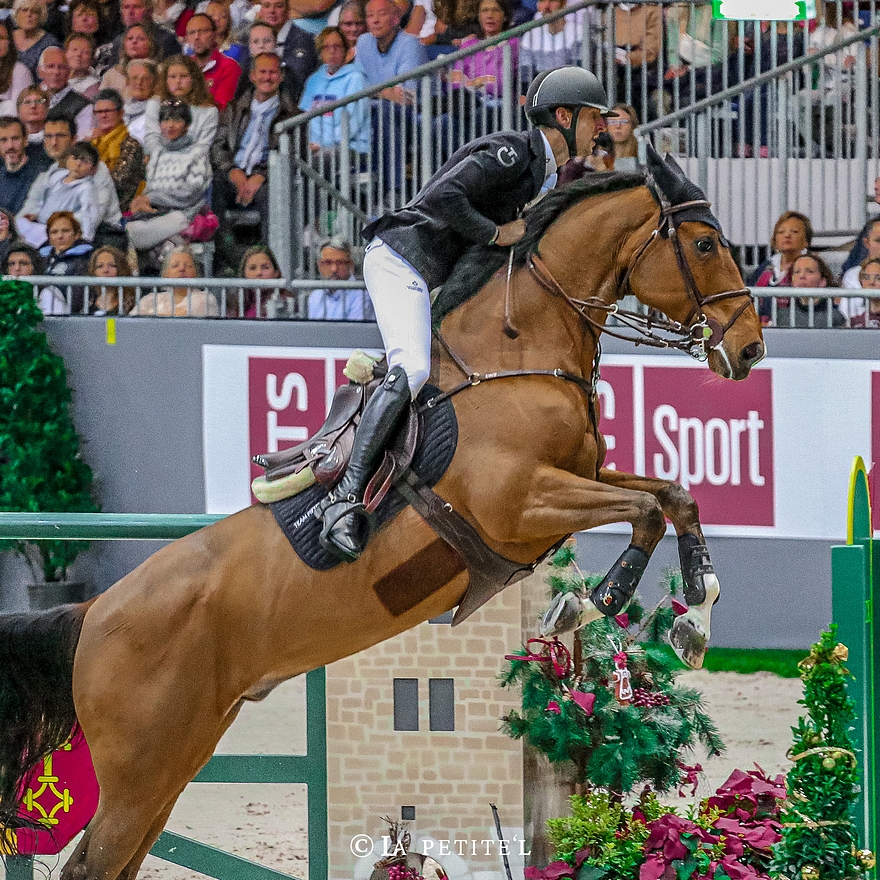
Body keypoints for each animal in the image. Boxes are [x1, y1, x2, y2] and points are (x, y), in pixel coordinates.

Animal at [0, 150, 764, 880]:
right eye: (703, 244)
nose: (750, 347)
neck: (518, 353)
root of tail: (91, 614)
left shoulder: (577, 477)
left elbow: (673, 495)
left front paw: (694, 614)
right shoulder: (523, 502)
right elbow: (645, 509)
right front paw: (597, 601)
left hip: (176, 762)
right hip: (141, 773)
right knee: (94, 863)